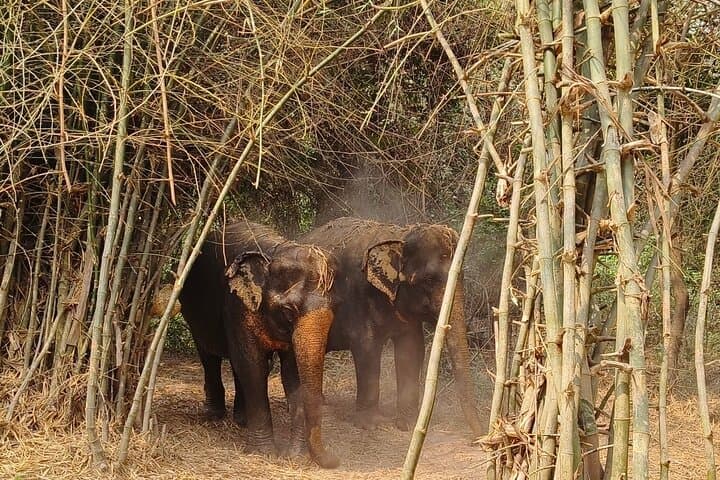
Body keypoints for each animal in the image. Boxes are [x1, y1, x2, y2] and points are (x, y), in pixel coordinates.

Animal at [179, 221, 340, 468]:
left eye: (335, 308)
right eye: (289, 311)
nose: (336, 459)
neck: (275, 251)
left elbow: (291, 373)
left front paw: (295, 456)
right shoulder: (236, 304)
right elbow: (252, 364)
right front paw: (264, 454)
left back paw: (241, 420)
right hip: (192, 309)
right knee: (209, 355)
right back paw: (214, 416)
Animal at [299, 217, 483, 437]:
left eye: (461, 277)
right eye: (429, 280)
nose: (479, 437)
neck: (399, 237)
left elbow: (411, 349)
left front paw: (407, 424)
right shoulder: (358, 297)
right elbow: (367, 348)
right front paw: (371, 425)